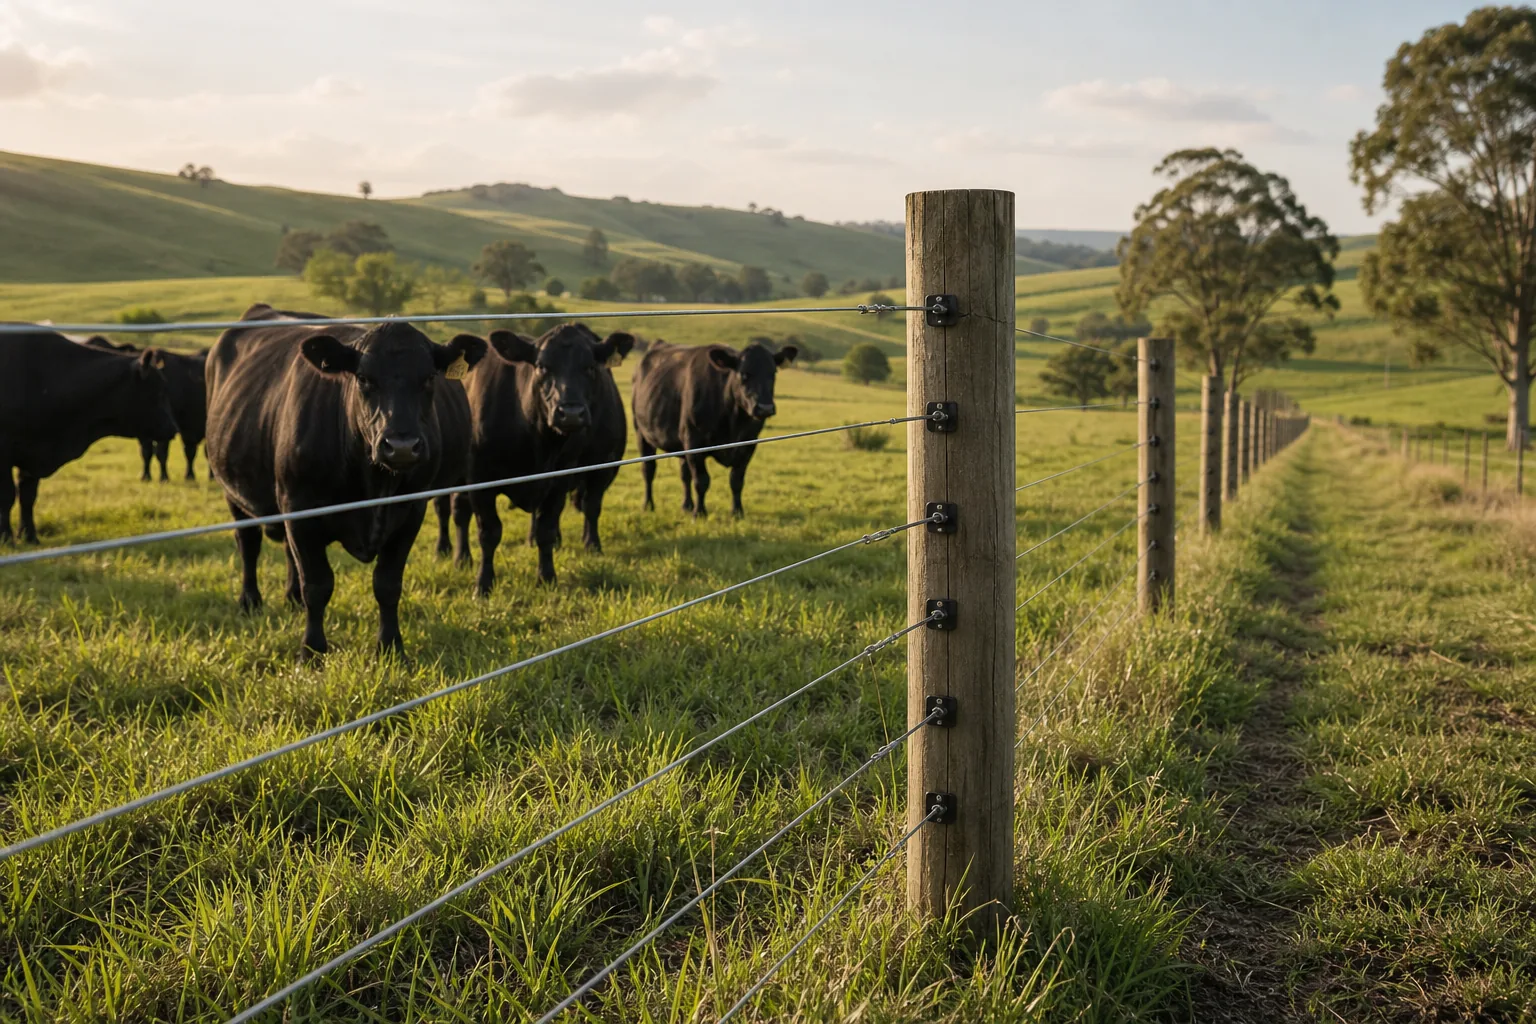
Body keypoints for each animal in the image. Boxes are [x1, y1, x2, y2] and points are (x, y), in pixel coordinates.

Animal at [0, 326, 177, 544]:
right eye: (158, 391)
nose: (173, 428)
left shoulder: (32, 455)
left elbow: (27, 495)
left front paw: (30, 535)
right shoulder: (5, 453)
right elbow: (6, 496)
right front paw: (6, 537)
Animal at [81, 336, 208, 481]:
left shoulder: (166, 428)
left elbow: (161, 453)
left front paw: (164, 477)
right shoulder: (143, 433)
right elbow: (146, 452)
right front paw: (146, 476)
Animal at [203, 304, 485, 656]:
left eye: (429, 377)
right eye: (363, 378)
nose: (401, 445)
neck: (373, 486)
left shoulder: (410, 511)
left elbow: (388, 583)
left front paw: (391, 647)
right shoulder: (301, 509)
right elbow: (317, 585)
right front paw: (311, 651)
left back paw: (291, 598)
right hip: (234, 491)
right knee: (249, 544)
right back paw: (250, 601)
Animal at [441, 323, 634, 596]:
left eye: (591, 367)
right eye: (542, 366)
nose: (570, 413)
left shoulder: (565, 477)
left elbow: (548, 528)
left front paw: (547, 577)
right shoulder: (480, 479)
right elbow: (489, 532)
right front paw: (483, 584)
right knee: (457, 511)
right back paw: (460, 557)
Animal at [632, 337, 797, 518]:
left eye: (773, 373)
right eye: (744, 374)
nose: (765, 408)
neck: (734, 421)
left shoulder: (749, 444)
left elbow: (736, 480)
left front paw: (737, 512)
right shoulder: (693, 442)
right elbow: (701, 480)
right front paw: (700, 512)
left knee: (684, 473)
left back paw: (687, 505)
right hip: (642, 433)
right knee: (648, 470)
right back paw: (648, 505)